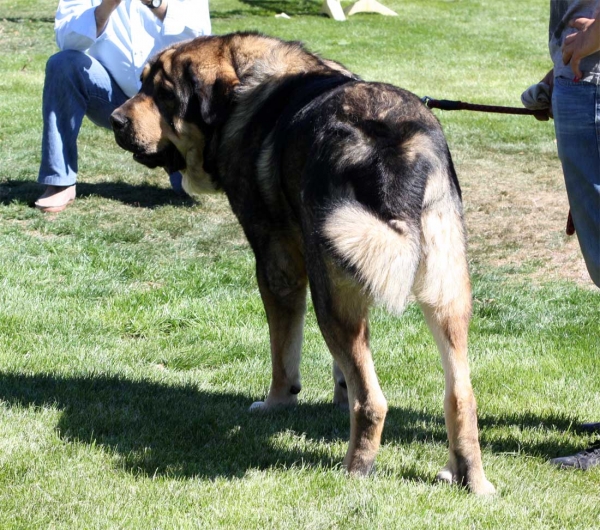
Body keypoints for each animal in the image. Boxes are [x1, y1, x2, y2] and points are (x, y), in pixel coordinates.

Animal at [110, 31, 494, 492]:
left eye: (165, 94)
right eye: (142, 84)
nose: (115, 120)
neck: (243, 88)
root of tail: (392, 142)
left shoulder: (279, 266)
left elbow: (283, 350)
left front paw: (276, 402)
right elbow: (343, 369)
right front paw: (338, 394)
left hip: (334, 295)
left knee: (373, 401)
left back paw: (355, 470)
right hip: (445, 290)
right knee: (460, 395)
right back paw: (469, 477)